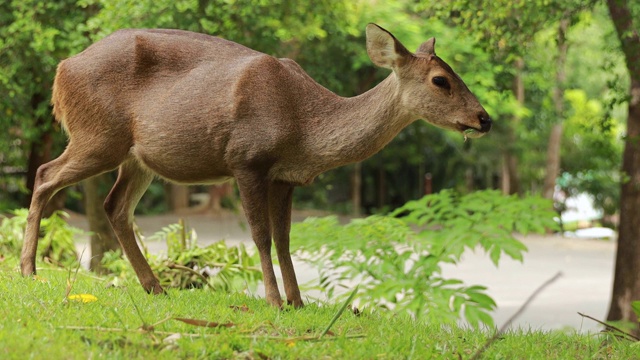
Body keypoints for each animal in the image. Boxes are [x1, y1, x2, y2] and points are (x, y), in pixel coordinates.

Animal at [18, 23, 490, 308]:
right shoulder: (246, 159)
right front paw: (275, 301)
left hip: (136, 156)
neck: (305, 128)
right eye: (441, 80)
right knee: (44, 176)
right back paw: (29, 270)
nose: (484, 118)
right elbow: (260, 236)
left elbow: (284, 239)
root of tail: (61, 70)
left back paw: (155, 287)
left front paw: (298, 302)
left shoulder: (285, 177)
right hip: (98, 136)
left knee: (114, 205)